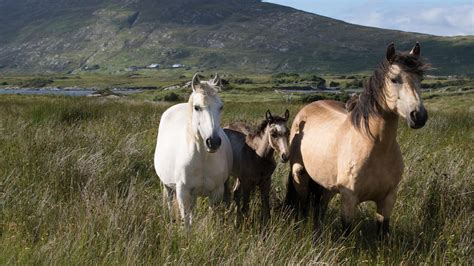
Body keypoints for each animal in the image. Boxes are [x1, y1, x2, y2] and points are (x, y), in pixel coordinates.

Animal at [154, 73, 233, 229]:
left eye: (220, 107)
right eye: (197, 107)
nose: (213, 142)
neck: (203, 158)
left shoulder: (216, 192)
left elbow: (210, 218)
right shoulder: (183, 193)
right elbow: (186, 224)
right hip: (168, 187)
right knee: (169, 203)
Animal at [286, 42, 430, 238]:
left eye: (420, 79)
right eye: (394, 79)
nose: (419, 116)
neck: (376, 146)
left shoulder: (388, 200)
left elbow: (382, 232)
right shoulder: (349, 198)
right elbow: (346, 231)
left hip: (326, 186)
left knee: (319, 209)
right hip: (300, 177)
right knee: (302, 206)